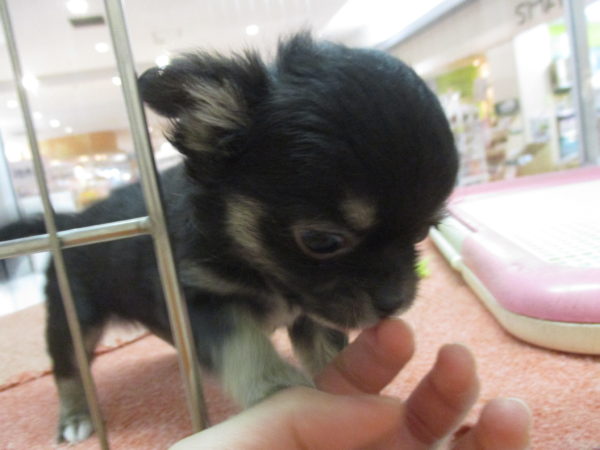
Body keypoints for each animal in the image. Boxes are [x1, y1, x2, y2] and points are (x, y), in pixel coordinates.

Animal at [0, 33, 458, 443]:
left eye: (424, 230)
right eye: (322, 241)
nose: (395, 301)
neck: (251, 259)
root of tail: (74, 219)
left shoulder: (313, 312)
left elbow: (327, 353)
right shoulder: (199, 298)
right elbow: (244, 346)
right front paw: (280, 389)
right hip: (73, 315)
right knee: (68, 367)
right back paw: (76, 416)